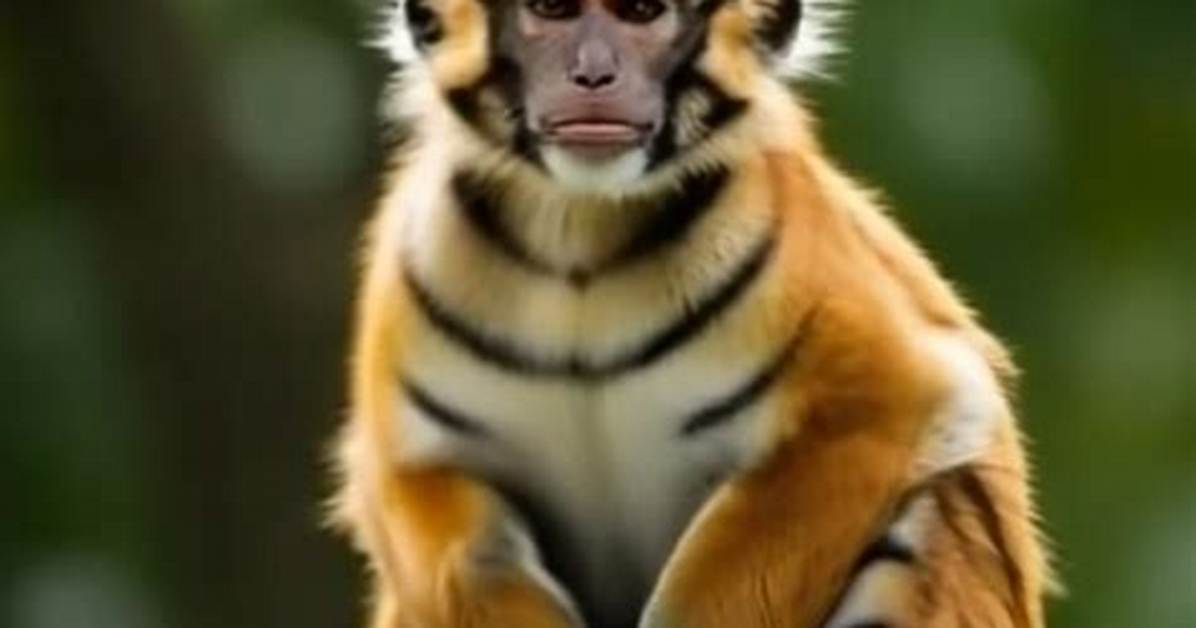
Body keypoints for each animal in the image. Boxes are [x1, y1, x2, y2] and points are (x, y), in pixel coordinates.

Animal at [328, 0, 1053, 626]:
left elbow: (717, 578)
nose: (594, 74)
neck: (576, 231)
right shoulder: (406, 463)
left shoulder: (881, 401)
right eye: (552, 9)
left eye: (642, 12)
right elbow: (475, 561)